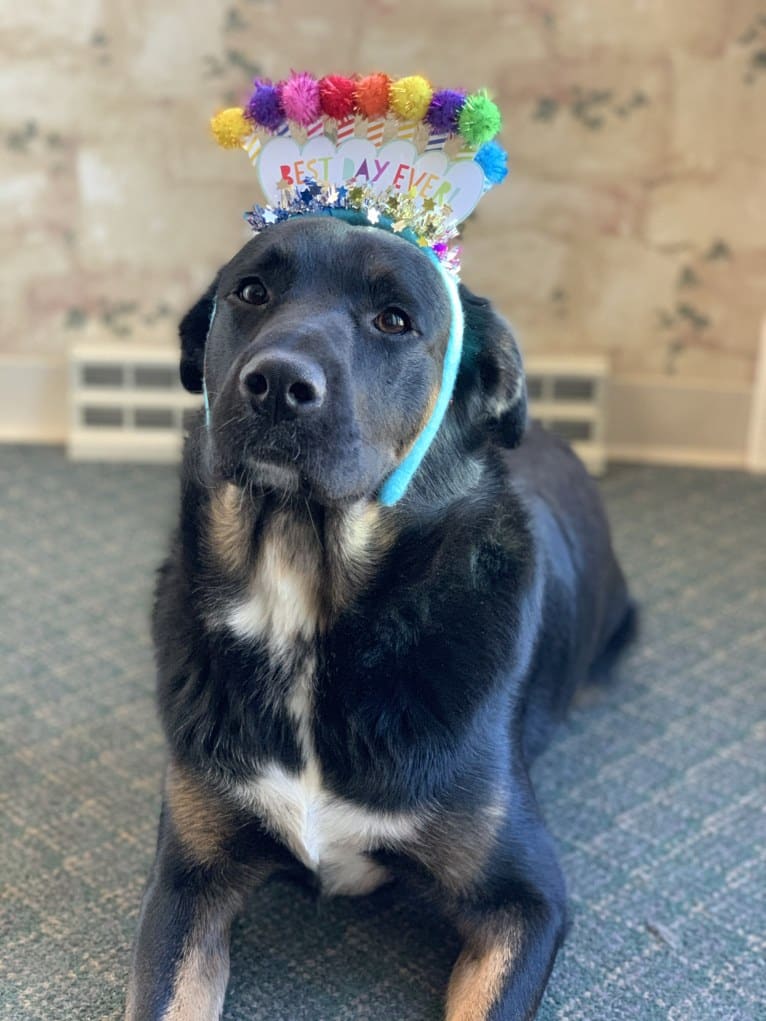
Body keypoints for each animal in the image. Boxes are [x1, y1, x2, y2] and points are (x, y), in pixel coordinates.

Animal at [126, 217, 637, 1021]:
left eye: (394, 320)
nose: (278, 385)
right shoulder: (186, 879)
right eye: (251, 291)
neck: (307, 613)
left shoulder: (526, 898)